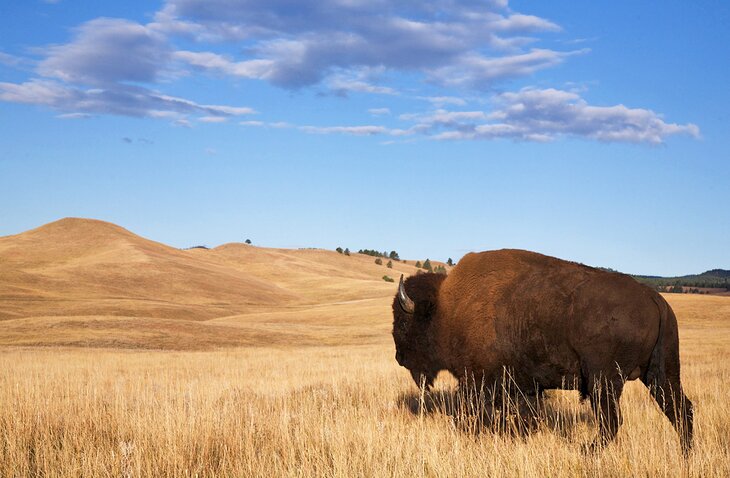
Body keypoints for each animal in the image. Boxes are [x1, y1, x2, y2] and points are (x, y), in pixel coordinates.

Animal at [392, 250, 692, 452]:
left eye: (404, 321)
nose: (399, 357)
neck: (446, 309)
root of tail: (653, 297)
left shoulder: (479, 381)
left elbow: (480, 412)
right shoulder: (524, 386)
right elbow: (526, 416)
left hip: (604, 380)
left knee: (612, 421)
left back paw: (586, 450)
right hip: (660, 374)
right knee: (680, 409)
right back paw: (686, 454)